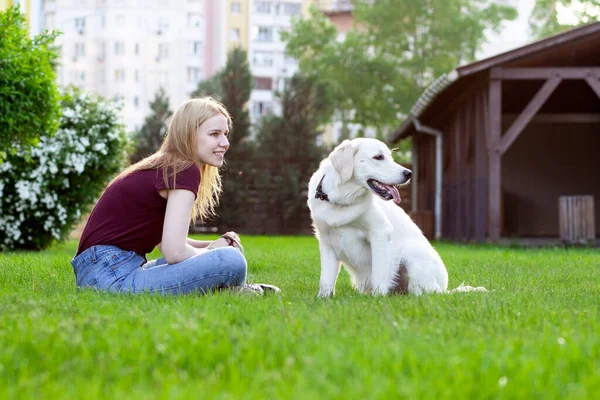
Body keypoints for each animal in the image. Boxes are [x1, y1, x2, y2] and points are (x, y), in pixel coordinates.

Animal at [308, 138, 486, 296]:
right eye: (378, 157)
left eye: (390, 156)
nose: (409, 173)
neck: (342, 200)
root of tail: (444, 289)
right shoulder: (326, 242)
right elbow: (326, 280)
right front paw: (323, 298)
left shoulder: (380, 232)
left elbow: (379, 274)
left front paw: (378, 299)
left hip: (412, 253)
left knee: (425, 292)